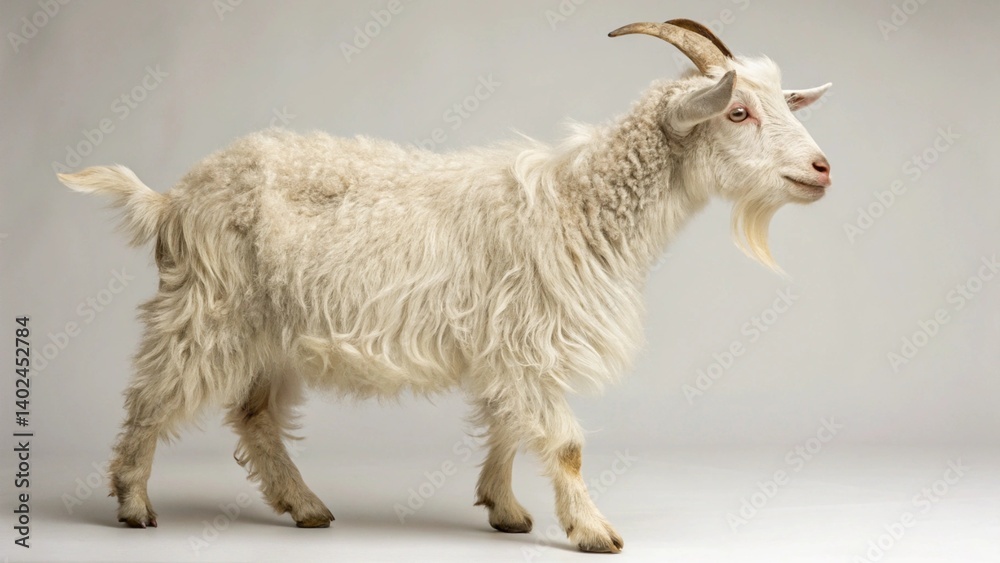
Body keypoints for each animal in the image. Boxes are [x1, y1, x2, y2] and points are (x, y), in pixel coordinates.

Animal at [57, 19, 831, 553]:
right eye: (737, 112)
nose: (823, 168)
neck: (577, 205)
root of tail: (171, 200)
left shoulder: (508, 345)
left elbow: (508, 423)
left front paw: (505, 509)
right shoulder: (528, 339)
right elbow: (564, 441)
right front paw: (593, 531)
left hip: (270, 328)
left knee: (254, 417)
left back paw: (306, 507)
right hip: (207, 307)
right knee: (152, 396)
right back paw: (133, 504)